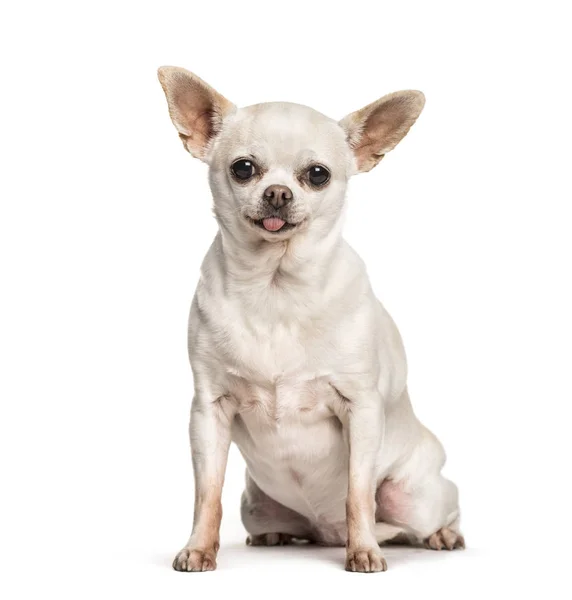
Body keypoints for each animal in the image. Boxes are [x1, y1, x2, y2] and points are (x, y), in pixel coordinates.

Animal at [158, 65, 464, 572]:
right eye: (243, 168)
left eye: (317, 175)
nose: (278, 193)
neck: (275, 289)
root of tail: (324, 532)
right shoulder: (208, 411)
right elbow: (207, 493)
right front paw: (198, 548)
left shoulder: (360, 409)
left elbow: (358, 493)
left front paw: (364, 552)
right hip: (255, 505)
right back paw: (277, 535)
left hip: (413, 496)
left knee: (433, 507)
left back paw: (441, 534)